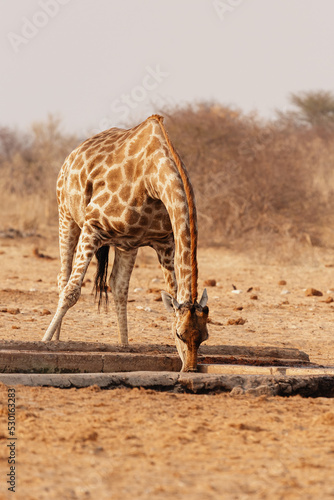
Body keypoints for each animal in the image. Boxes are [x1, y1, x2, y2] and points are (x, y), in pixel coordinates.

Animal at [41, 113, 209, 372]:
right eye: (179, 334)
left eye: (204, 337)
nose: (190, 369)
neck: (152, 180)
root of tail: (72, 154)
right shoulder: (93, 227)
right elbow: (72, 290)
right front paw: (43, 341)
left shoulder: (165, 243)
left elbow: (171, 296)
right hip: (66, 215)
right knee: (64, 277)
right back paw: (56, 341)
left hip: (126, 244)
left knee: (118, 286)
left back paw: (123, 346)